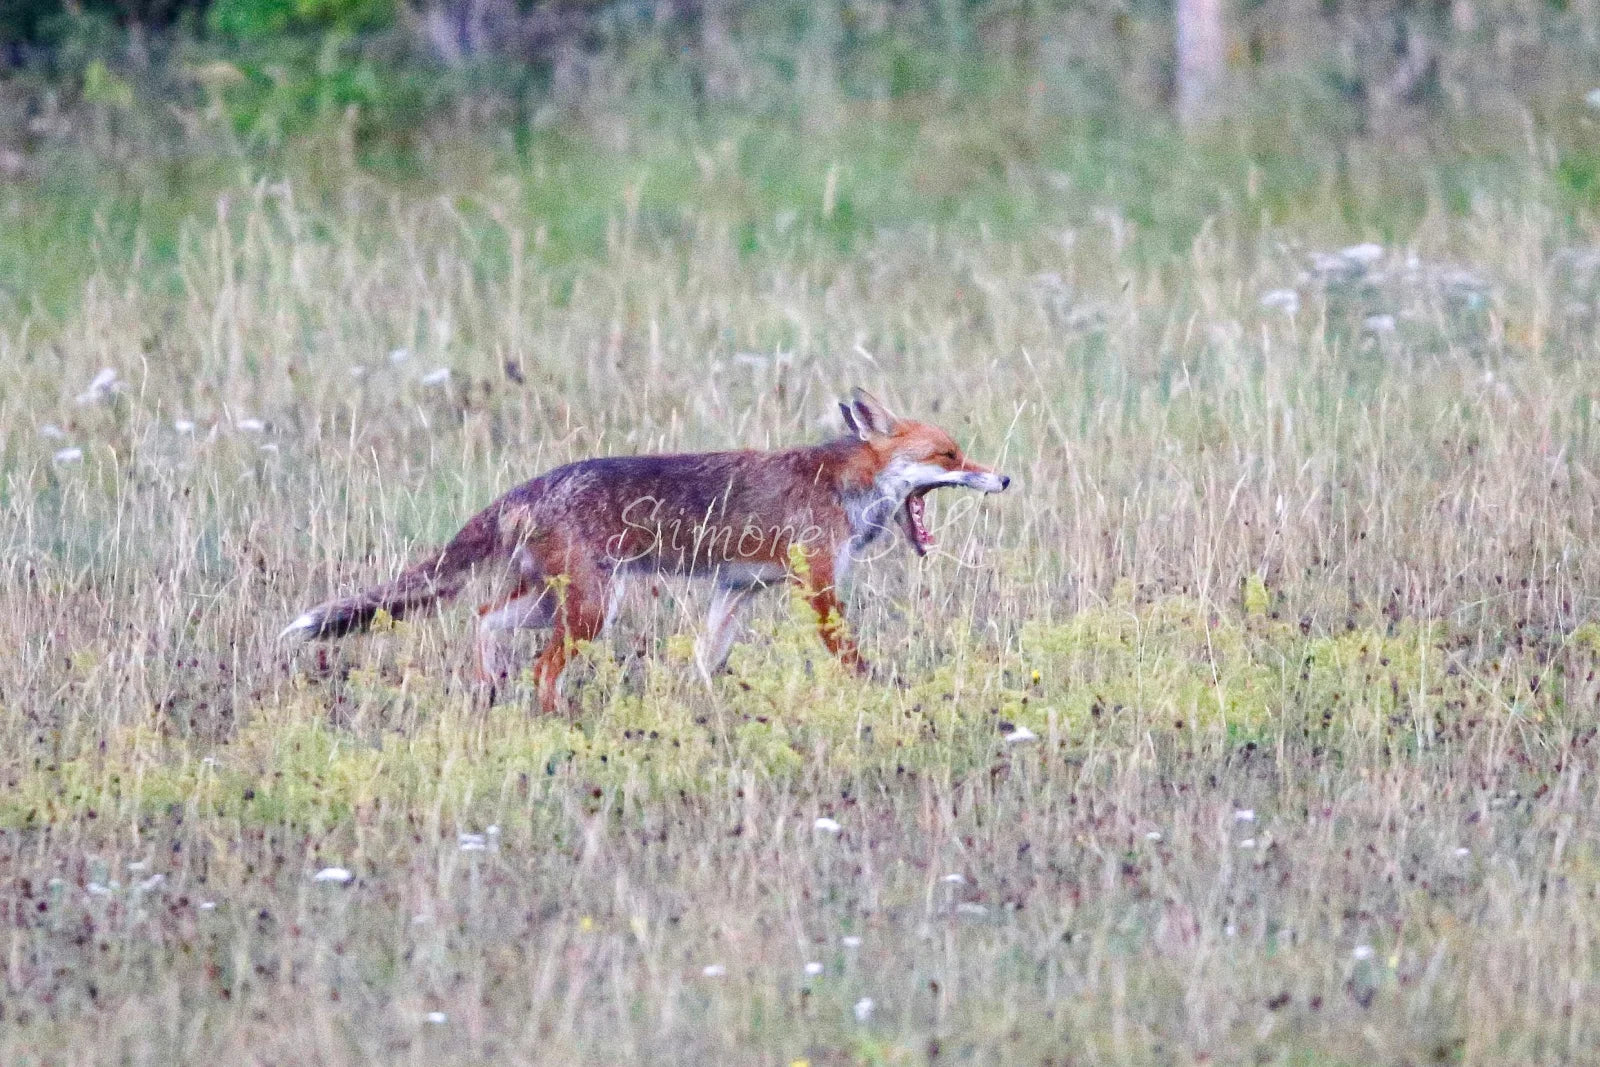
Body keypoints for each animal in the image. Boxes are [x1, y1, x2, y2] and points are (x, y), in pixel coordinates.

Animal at [279, 388, 1009, 713]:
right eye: (950, 455)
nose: (1003, 479)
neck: (842, 486)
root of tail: (530, 485)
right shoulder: (819, 587)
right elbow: (854, 658)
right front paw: (886, 693)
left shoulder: (738, 589)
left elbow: (708, 657)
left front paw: (705, 707)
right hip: (588, 611)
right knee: (541, 667)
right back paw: (553, 721)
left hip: (558, 604)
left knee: (484, 620)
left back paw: (490, 692)